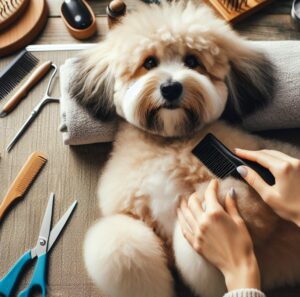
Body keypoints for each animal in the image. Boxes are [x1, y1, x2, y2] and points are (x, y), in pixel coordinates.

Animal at [69, 2, 300, 296]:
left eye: (192, 61)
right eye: (149, 62)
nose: (170, 87)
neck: (170, 143)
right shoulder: (131, 218)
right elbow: (119, 243)